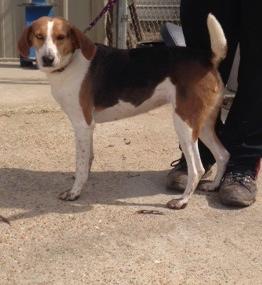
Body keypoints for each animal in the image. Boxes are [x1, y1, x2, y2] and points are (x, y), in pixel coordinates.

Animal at [17, 14, 229, 209]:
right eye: (39, 36)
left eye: (61, 37)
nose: (48, 59)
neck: (70, 63)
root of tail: (208, 58)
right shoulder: (87, 128)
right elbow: (88, 160)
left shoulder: (82, 124)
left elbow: (81, 165)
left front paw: (74, 192)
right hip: (203, 125)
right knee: (223, 155)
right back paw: (213, 187)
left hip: (184, 123)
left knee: (197, 169)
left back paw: (182, 201)